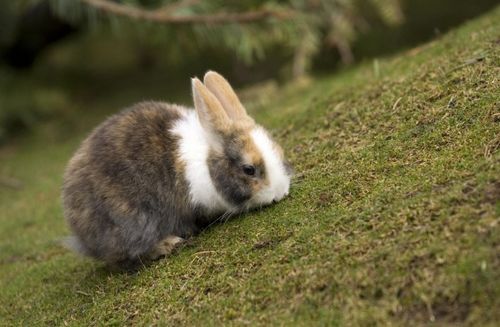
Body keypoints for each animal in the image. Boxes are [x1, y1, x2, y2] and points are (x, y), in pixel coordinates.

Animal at [61, 72, 292, 270]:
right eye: (249, 169)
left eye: (279, 151)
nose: (279, 193)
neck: (208, 163)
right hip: (132, 222)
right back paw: (168, 244)